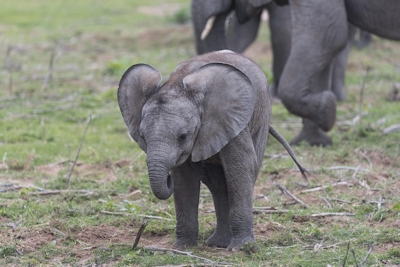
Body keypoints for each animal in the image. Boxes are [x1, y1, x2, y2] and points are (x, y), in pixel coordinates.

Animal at [117, 50, 308, 251]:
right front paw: (182, 247)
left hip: (262, 115)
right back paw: (218, 243)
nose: (167, 179)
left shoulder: (232, 121)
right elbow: (184, 179)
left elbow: (242, 168)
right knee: (218, 184)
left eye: (182, 137)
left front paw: (240, 249)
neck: (176, 84)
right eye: (143, 137)